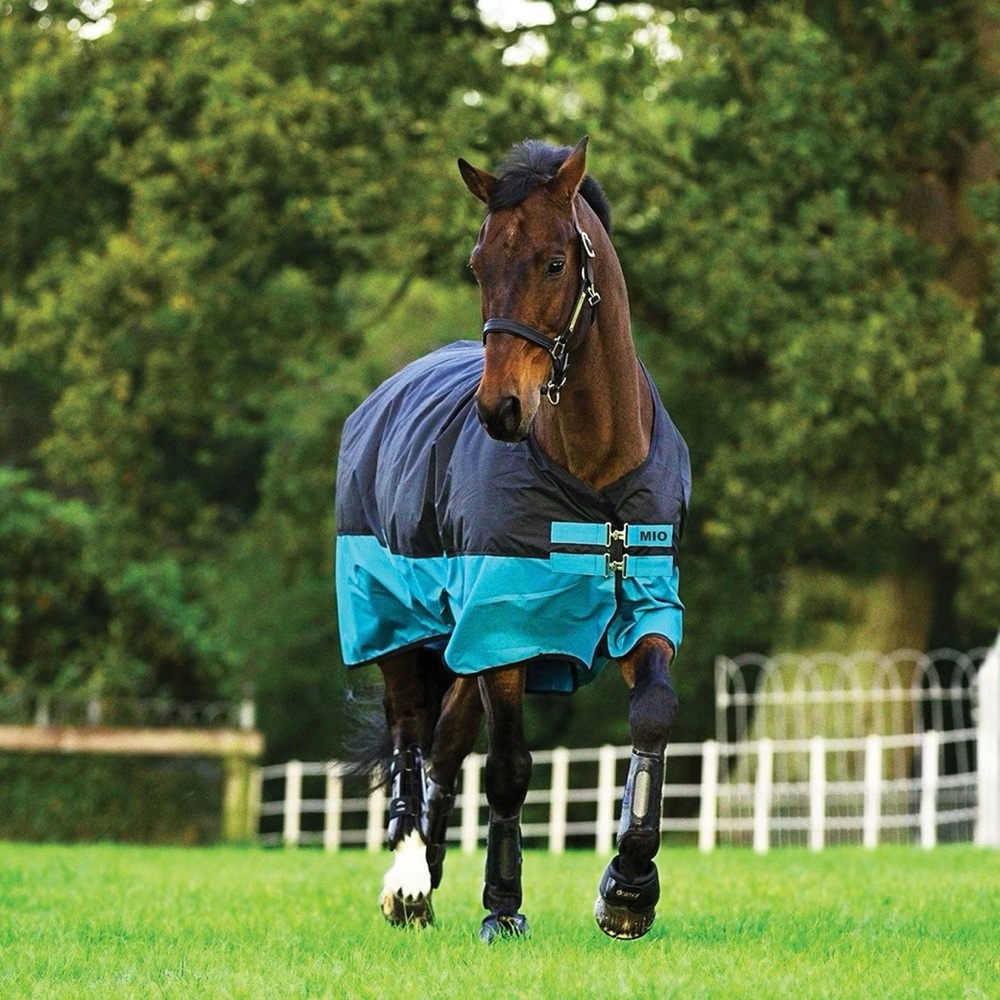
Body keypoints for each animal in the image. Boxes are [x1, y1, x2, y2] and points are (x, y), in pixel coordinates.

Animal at [335, 137, 690, 941]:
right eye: (478, 263)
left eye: (555, 263)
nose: (499, 408)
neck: (593, 474)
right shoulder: (505, 629)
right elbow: (509, 768)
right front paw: (502, 907)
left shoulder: (645, 606)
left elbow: (653, 716)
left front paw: (629, 889)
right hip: (399, 625)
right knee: (411, 736)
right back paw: (409, 880)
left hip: (460, 647)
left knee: (444, 746)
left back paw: (429, 872)